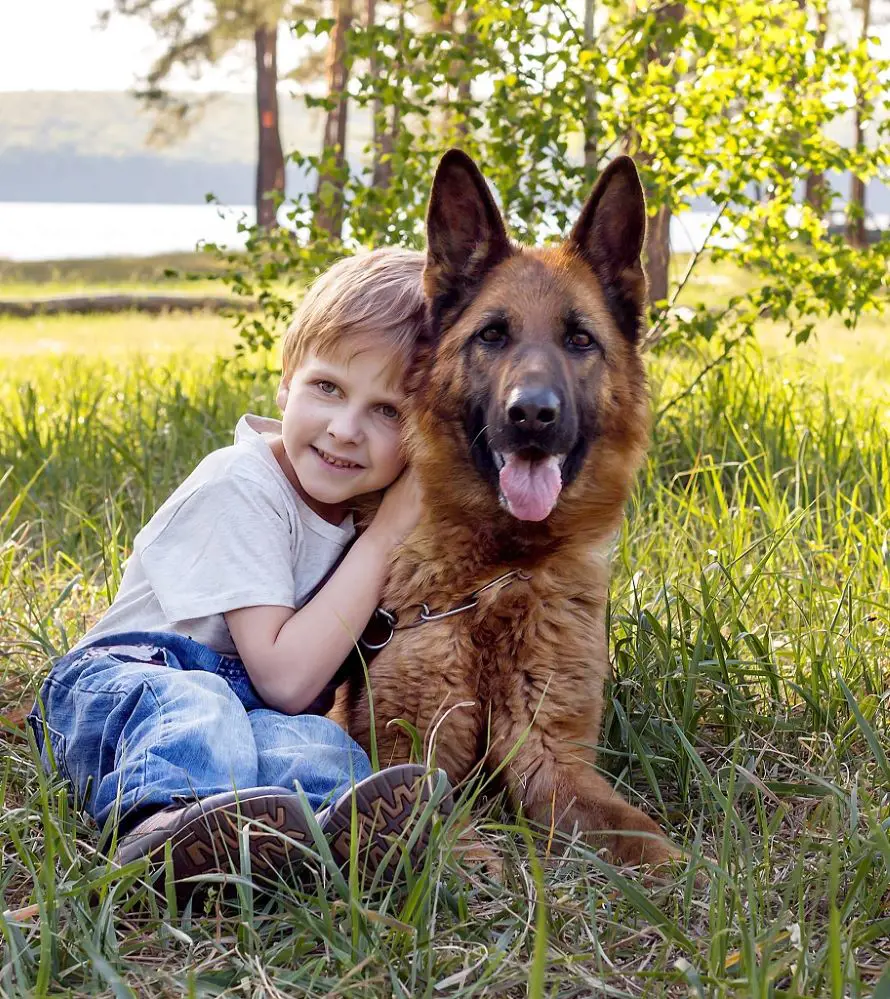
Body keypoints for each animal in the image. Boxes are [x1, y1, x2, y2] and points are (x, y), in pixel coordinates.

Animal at [332, 148, 672, 868]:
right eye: (492, 334)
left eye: (579, 340)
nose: (532, 415)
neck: (499, 576)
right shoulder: (407, 751)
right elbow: (439, 823)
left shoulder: (556, 763)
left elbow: (650, 843)